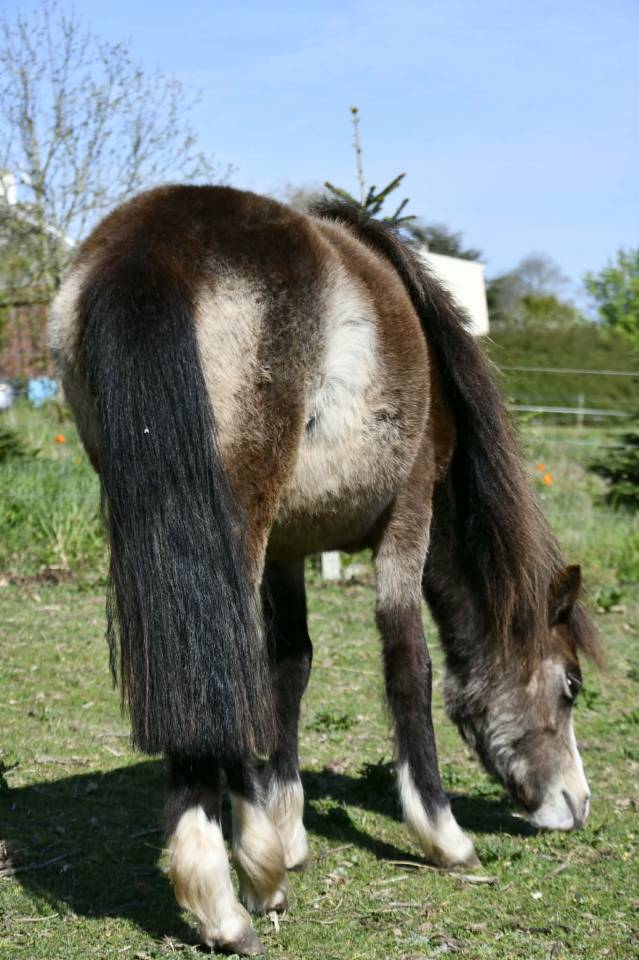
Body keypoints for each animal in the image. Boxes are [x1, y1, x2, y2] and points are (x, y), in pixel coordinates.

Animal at [48, 185, 601, 955]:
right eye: (570, 687)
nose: (576, 805)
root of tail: (152, 246)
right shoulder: (408, 517)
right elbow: (407, 668)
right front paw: (444, 837)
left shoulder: (288, 549)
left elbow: (290, 666)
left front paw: (290, 829)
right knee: (220, 667)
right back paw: (237, 888)